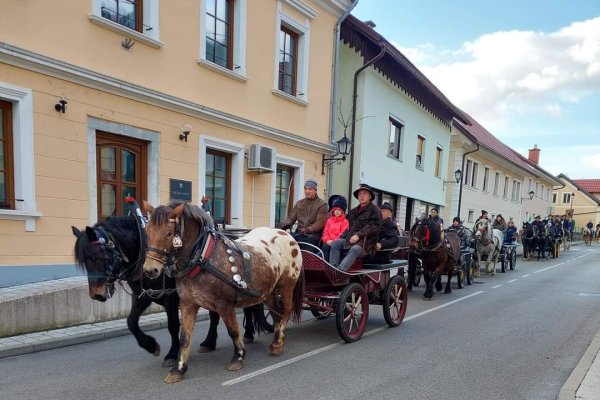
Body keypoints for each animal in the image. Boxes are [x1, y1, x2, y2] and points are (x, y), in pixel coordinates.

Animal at [142, 203, 304, 384]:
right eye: (147, 231)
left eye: (169, 233)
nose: (150, 270)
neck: (202, 258)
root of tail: (287, 235)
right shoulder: (188, 304)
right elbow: (185, 336)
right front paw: (178, 369)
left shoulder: (225, 305)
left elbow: (233, 331)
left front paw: (238, 358)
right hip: (268, 292)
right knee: (276, 314)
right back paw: (277, 341)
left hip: (286, 286)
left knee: (286, 312)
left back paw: (277, 343)